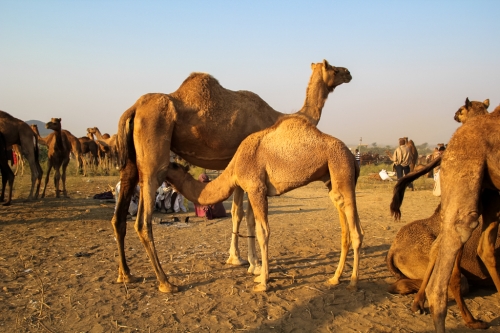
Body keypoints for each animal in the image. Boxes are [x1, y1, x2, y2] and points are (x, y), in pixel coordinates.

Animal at [110, 59, 352, 290]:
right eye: (332, 67)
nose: (348, 72)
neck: (275, 116)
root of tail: (133, 109)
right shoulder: (250, 168)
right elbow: (247, 216)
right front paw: (253, 265)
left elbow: (236, 213)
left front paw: (237, 258)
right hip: (154, 162)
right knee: (143, 221)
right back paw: (165, 282)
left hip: (131, 162)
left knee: (119, 216)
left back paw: (125, 274)